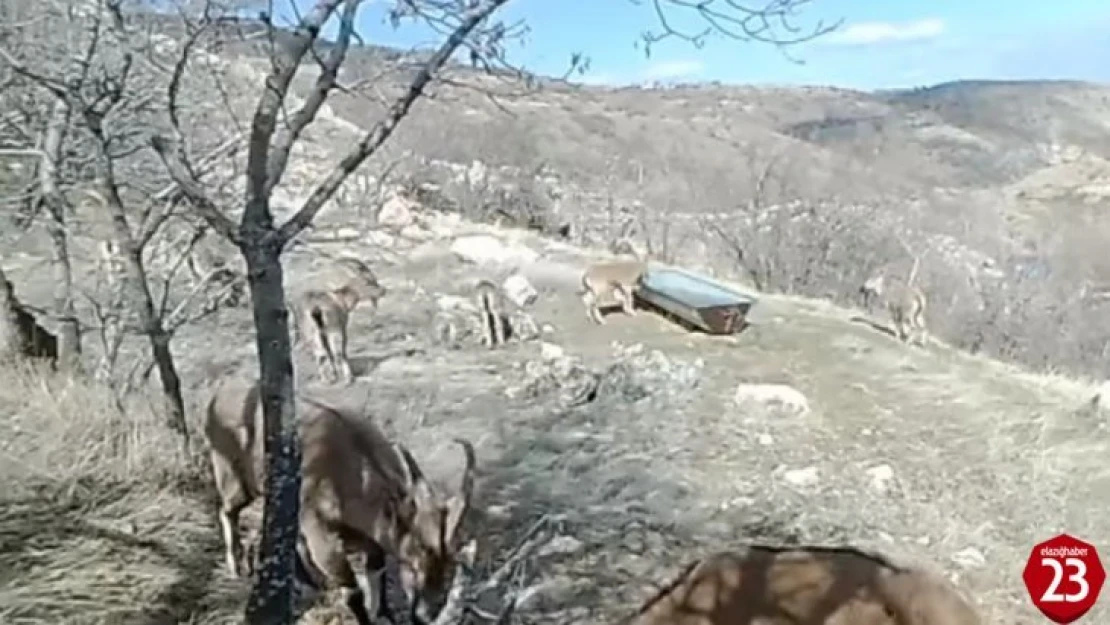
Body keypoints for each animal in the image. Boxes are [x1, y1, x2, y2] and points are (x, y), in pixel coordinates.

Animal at [206, 379, 475, 621]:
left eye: (450, 561)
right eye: (416, 551)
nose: (426, 613)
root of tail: (217, 397)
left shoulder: (372, 542)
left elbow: (376, 578)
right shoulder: (323, 537)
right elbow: (353, 592)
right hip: (235, 478)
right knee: (227, 510)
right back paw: (236, 567)